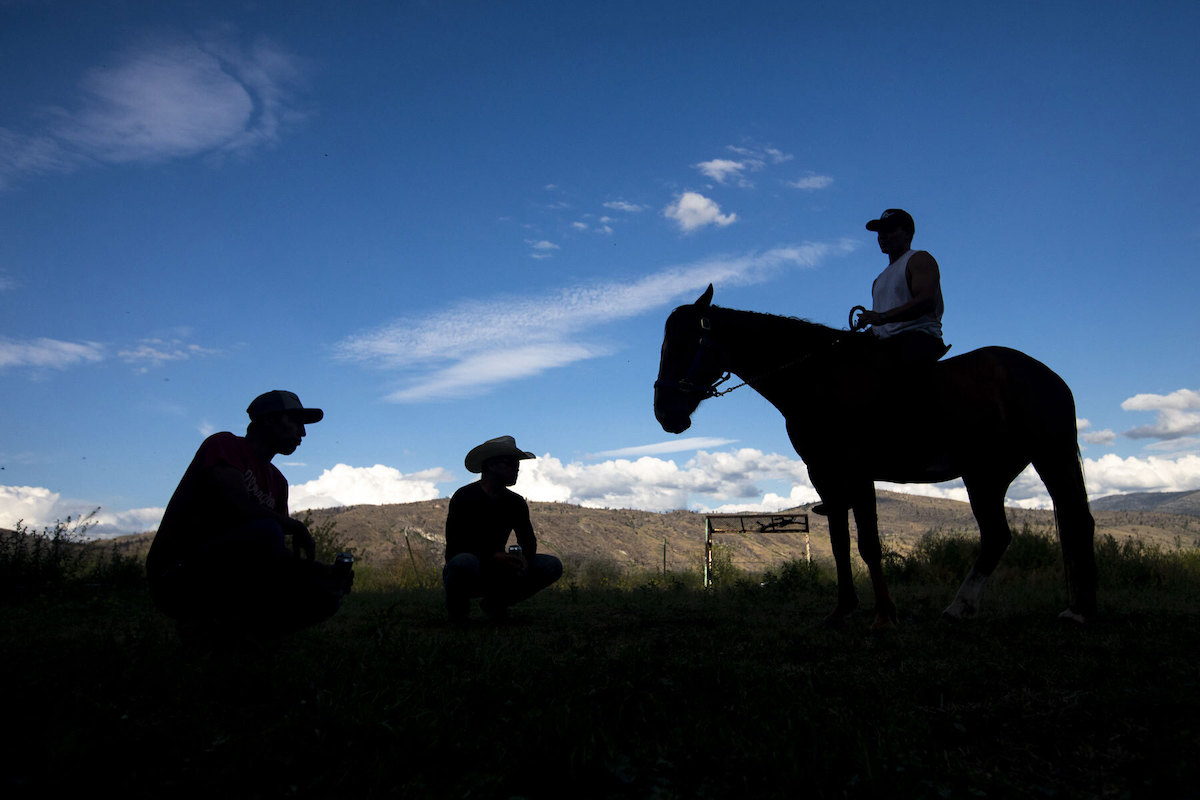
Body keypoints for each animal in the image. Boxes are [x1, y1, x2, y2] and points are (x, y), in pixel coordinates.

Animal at [657, 284, 1099, 628]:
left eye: (685, 344)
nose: (665, 414)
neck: (817, 379)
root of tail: (1050, 377)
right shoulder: (825, 475)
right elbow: (839, 544)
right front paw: (842, 610)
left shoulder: (857, 472)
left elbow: (869, 543)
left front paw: (885, 615)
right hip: (986, 474)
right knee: (1000, 535)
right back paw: (963, 608)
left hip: (1050, 457)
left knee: (1075, 522)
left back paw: (1078, 611)